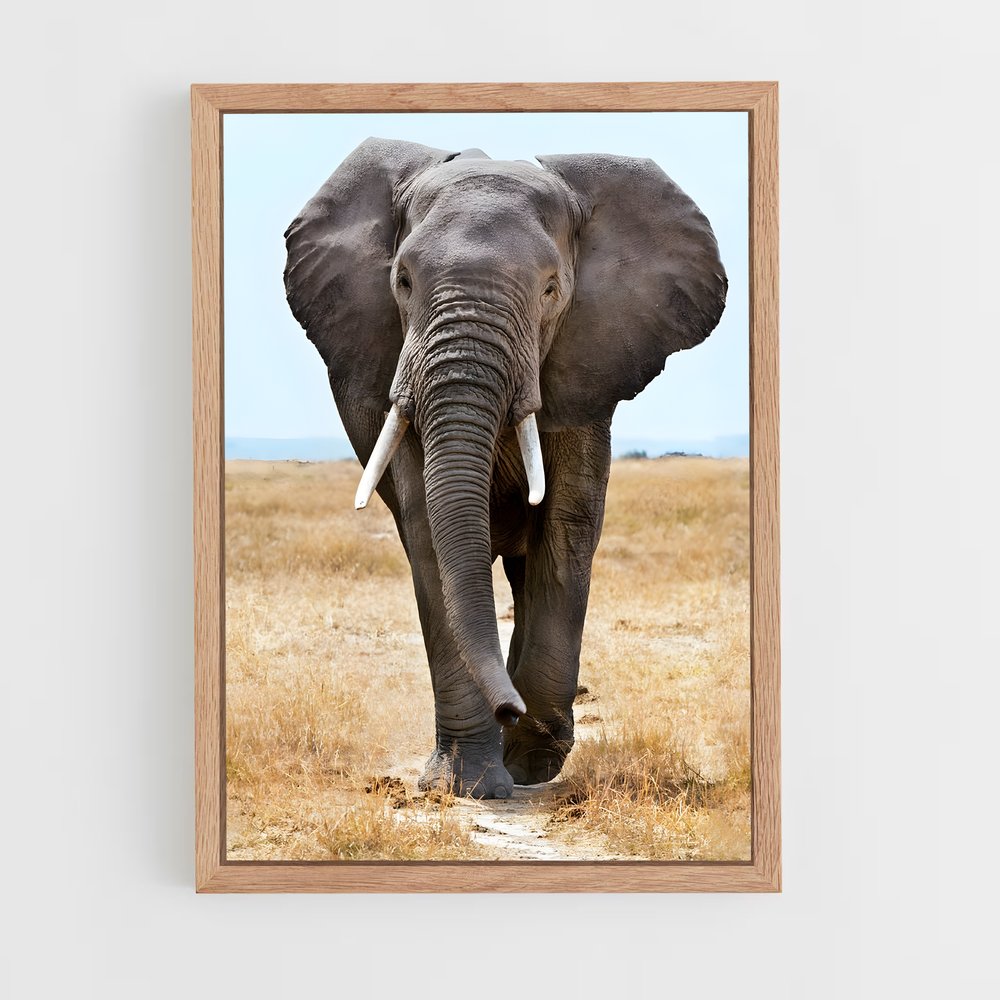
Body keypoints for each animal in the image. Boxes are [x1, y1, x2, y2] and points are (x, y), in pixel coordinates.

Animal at [283, 138, 727, 799]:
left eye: (551, 290)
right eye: (402, 280)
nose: (508, 710)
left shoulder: (584, 365)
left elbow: (567, 526)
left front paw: (532, 762)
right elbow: (428, 533)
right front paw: (466, 783)